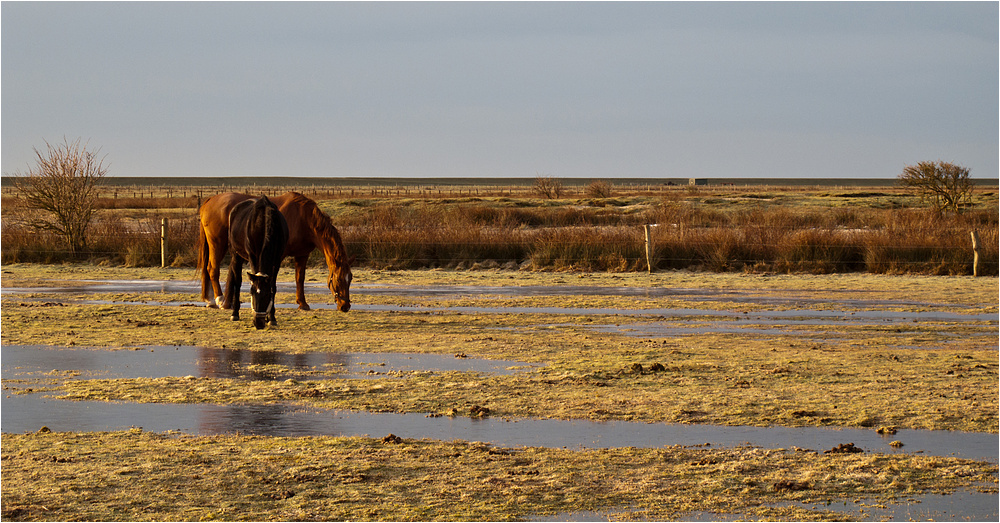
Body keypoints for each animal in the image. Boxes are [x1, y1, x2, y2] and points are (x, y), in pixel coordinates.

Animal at [197, 193, 354, 314]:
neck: (302, 218)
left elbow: (300, 278)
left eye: (350, 279)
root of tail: (209, 200)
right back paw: (219, 299)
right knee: (212, 269)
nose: (345, 306)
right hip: (218, 244)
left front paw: (303, 304)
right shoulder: (279, 255)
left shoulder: (302, 255)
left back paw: (213, 301)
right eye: (339, 280)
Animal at [226, 194, 290, 330]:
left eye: (266, 295)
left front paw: (271, 318)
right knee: (237, 282)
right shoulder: (252, 256)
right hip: (236, 255)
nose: (258, 323)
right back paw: (235, 313)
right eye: (252, 292)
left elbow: (273, 286)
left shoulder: (277, 260)